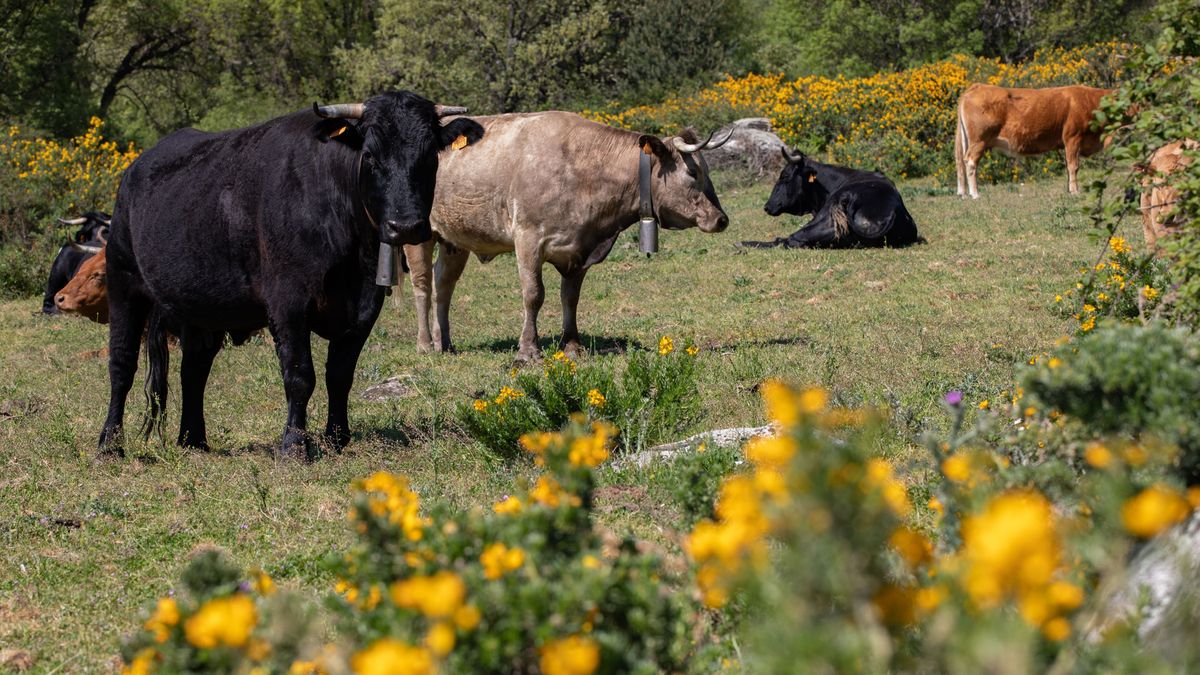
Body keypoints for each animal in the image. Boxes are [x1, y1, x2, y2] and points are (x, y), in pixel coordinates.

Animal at [99, 90, 482, 456]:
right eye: (370, 155)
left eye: (430, 155)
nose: (404, 226)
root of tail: (135, 169)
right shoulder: (288, 302)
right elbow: (300, 376)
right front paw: (294, 444)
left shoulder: (364, 305)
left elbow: (340, 374)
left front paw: (337, 438)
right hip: (124, 283)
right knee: (122, 365)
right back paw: (110, 444)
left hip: (200, 306)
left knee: (194, 368)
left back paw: (193, 440)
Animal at [403, 112, 729, 360]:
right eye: (693, 173)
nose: (721, 219)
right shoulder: (528, 239)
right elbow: (534, 295)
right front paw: (528, 350)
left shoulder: (580, 250)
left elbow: (570, 297)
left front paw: (572, 345)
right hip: (417, 234)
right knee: (423, 285)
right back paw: (425, 344)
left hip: (454, 240)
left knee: (444, 285)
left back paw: (445, 343)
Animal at [955, 82, 1113, 196]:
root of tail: (977, 86)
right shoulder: (1073, 138)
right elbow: (1073, 166)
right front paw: (1074, 191)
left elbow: (1069, 167)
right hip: (979, 141)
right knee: (970, 162)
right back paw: (975, 194)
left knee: (960, 163)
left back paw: (962, 193)